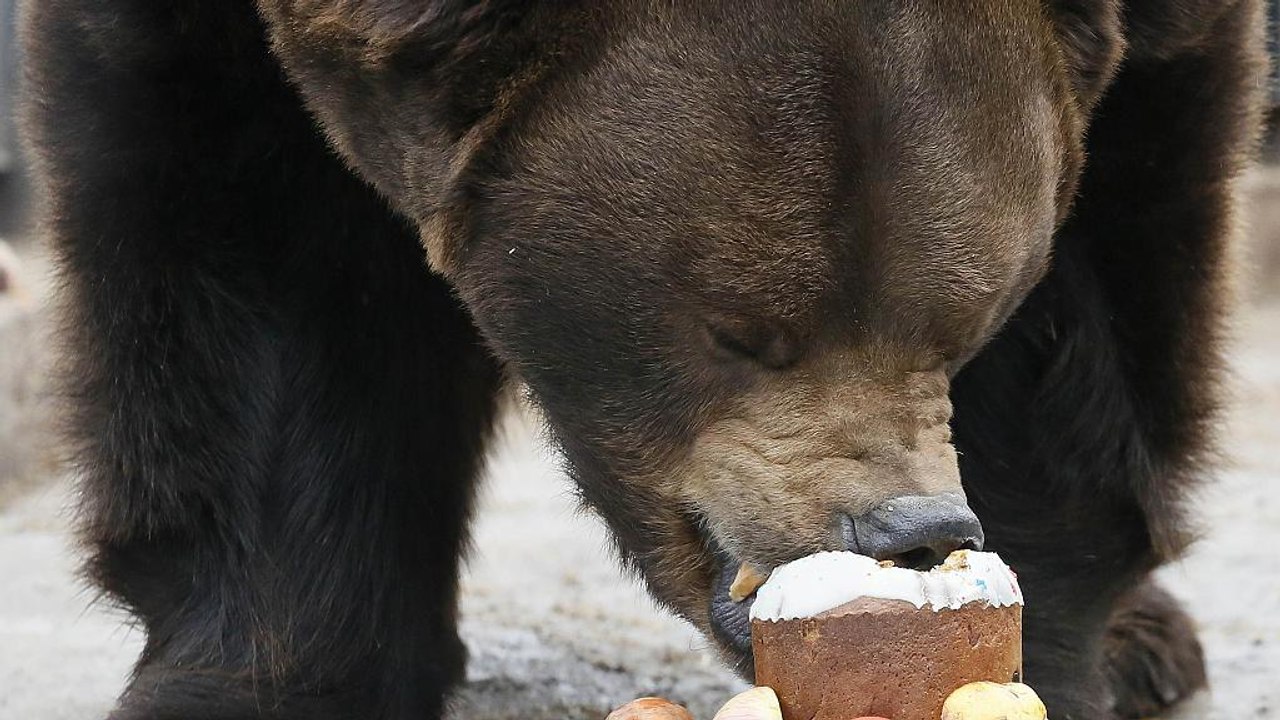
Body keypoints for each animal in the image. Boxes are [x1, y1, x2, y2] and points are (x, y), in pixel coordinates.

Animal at [18, 1, 1264, 718]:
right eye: (738, 331)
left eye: (960, 320)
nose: (903, 531)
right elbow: (258, 259)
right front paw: (256, 684)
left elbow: (1100, 293)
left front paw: (1024, 652)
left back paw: (1148, 647)